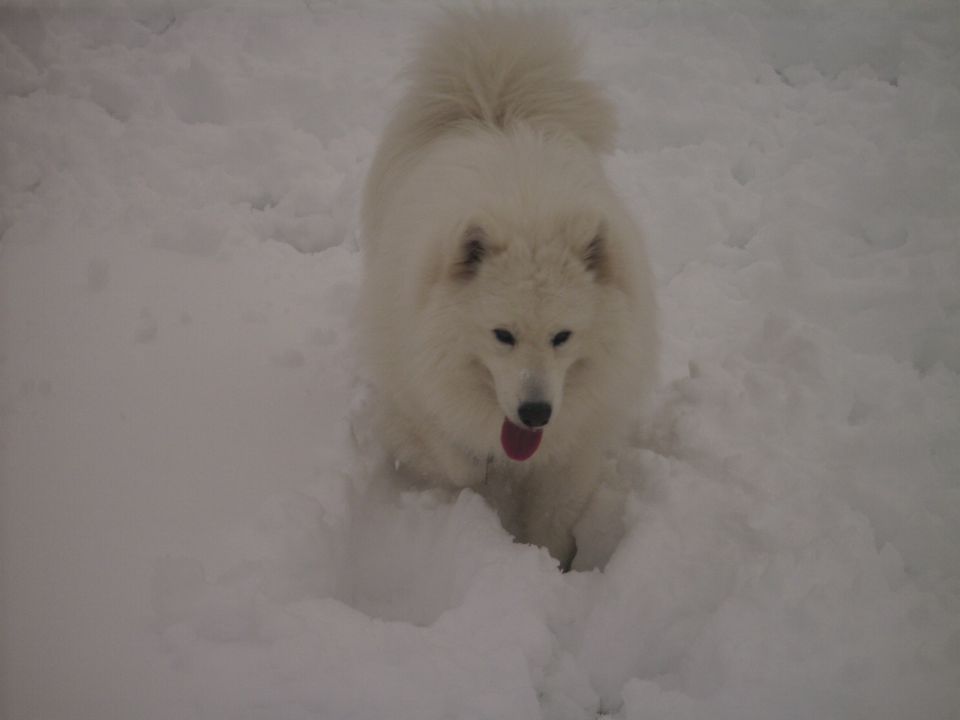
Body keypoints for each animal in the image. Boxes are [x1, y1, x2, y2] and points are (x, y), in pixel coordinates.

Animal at [360, 5, 660, 568]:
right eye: (502, 335)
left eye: (563, 337)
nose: (535, 412)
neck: (529, 214)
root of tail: (495, 111)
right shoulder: (415, 387)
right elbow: (453, 455)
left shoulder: (577, 439)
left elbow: (554, 513)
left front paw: (550, 561)